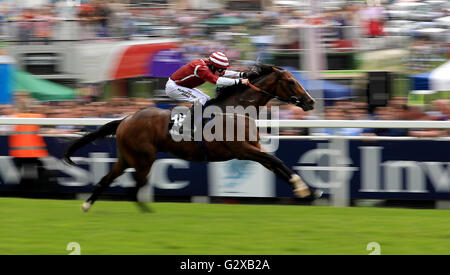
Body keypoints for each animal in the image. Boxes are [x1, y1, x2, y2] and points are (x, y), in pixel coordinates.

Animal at [65, 64, 322, 213]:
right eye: (291, 81)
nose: (311, 102)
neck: (237, 110)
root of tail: (126, 118)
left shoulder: (255, 149)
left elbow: (277, 165)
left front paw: (309, 192)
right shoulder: (242, 150)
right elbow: (277, 162)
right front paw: (302, 188)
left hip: (127, 157)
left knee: (108, 179)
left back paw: (87, 204)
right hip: (143, 158)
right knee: (136, 184)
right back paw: (144, 211)